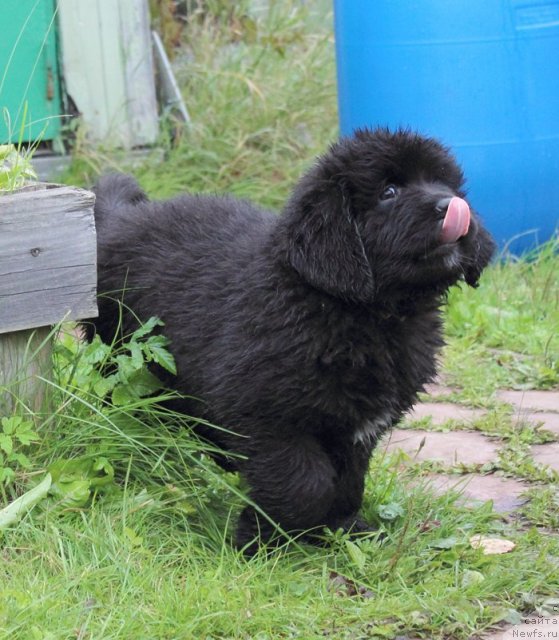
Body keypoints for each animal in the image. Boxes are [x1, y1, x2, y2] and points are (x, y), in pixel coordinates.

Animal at [86, 129, 494, 552]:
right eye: (389, 191)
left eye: (445, 184)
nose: (452, 205)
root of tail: (121, 219)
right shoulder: (267, 417)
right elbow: (304, 484)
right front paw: (260, 539)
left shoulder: (355, 429)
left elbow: (347, 482)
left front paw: (342, 529)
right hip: (119, 362)